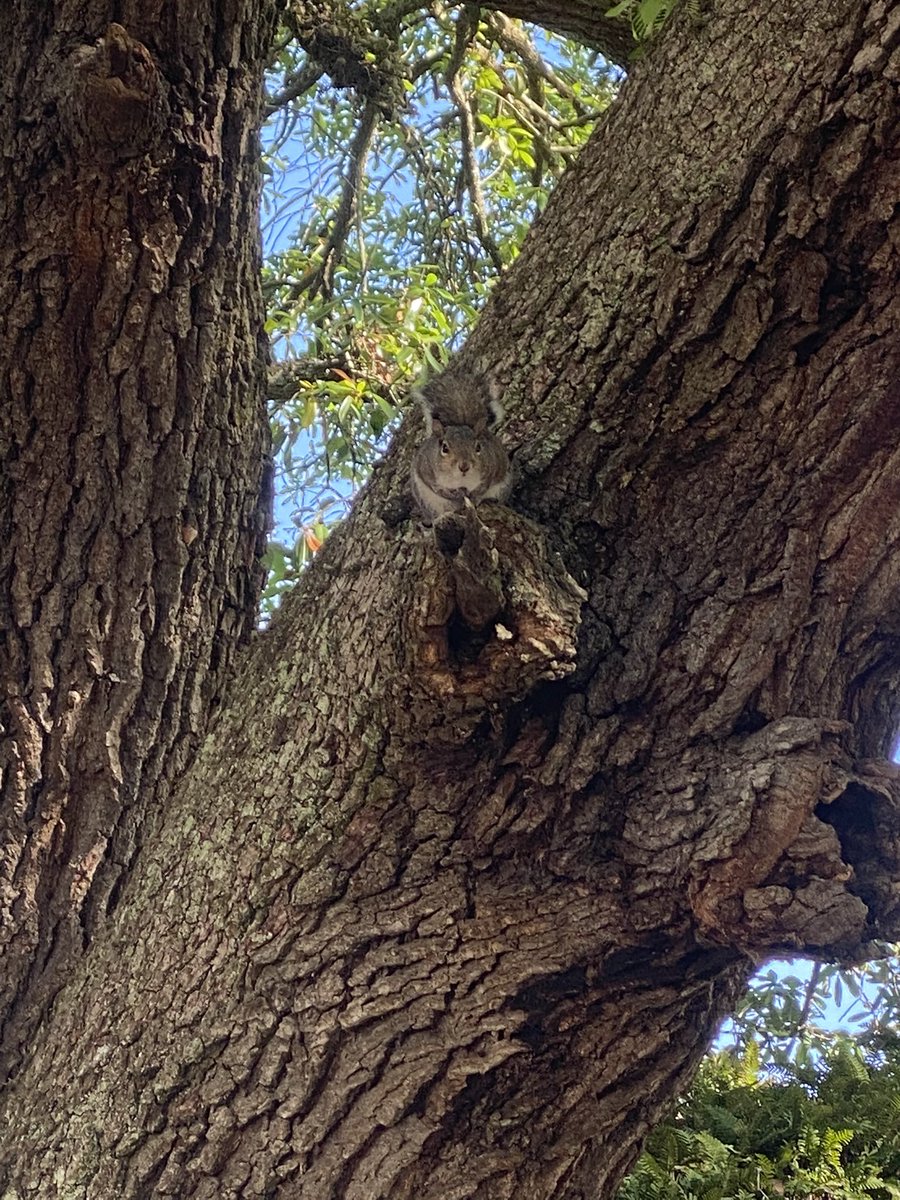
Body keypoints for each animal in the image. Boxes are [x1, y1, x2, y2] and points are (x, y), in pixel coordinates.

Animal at [410, 372, 512, 523]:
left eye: (478, 447)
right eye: (444, 448)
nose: (464, 466)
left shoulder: (494, 464)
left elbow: (485, 484)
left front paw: (474, 494)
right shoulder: (425, 467)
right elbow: (435, 486)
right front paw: (451, 494)